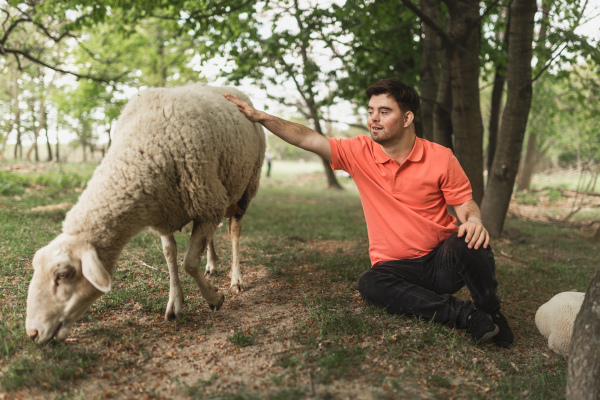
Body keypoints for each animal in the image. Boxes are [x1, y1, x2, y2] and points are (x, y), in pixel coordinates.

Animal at [25, 83, 264, 344]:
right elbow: (170, 254)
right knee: (212, 234)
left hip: (244, 187)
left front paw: (215, 299)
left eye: (63, 275)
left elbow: (190, 262)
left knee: (234, 231)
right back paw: (211, 264)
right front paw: (175, 302)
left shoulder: (205, 200)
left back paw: (236, 279)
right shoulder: (168, 210)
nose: (32, 333)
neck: (141, 151)